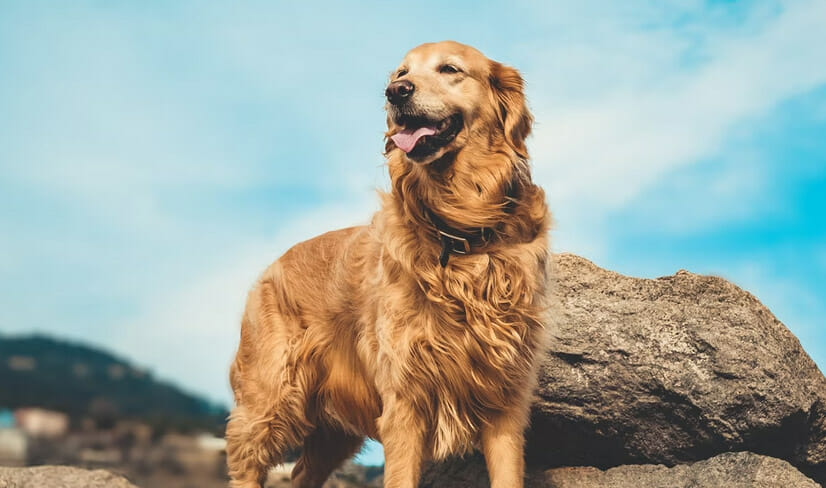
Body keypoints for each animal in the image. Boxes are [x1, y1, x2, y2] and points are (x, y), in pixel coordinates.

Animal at [227, 40, 548, 486]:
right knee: (247, 460)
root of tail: (271, 267)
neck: (459, 228)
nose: (396, 92)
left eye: (450, 69)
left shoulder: (505, 400)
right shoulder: (404, 400)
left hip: (331, 432)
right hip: (271, 398)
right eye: (401, 73)